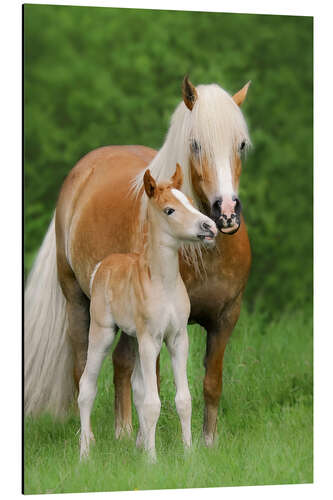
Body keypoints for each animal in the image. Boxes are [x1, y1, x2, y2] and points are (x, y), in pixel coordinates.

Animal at [77, 165, 215, 460]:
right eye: (169, 210)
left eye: (189, 201)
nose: (209, 227)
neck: (164, 283)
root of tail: (101, 267)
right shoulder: (151, 340)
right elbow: (153, 402)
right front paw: (152, 460)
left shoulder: (177, 338)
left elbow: (182, 399)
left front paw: (188, 454)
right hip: (103, 333)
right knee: (86, 387)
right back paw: (85, 454)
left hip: (133, 337)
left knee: (138, 388)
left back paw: (137, 445)